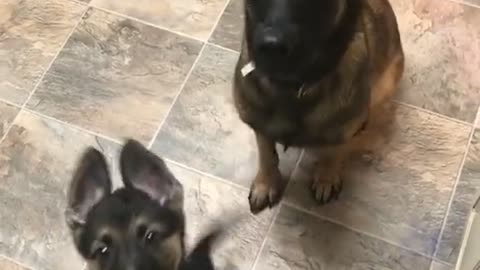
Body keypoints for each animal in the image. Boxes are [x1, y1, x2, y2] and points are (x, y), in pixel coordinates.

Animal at [234, 0, 406, 214]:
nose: (271, 46)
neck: (292, 86)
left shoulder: (343, 128)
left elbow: (334, 152)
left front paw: (326, 177)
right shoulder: (258, 123)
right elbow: (267, 154)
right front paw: (265, 183)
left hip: (384, 86)